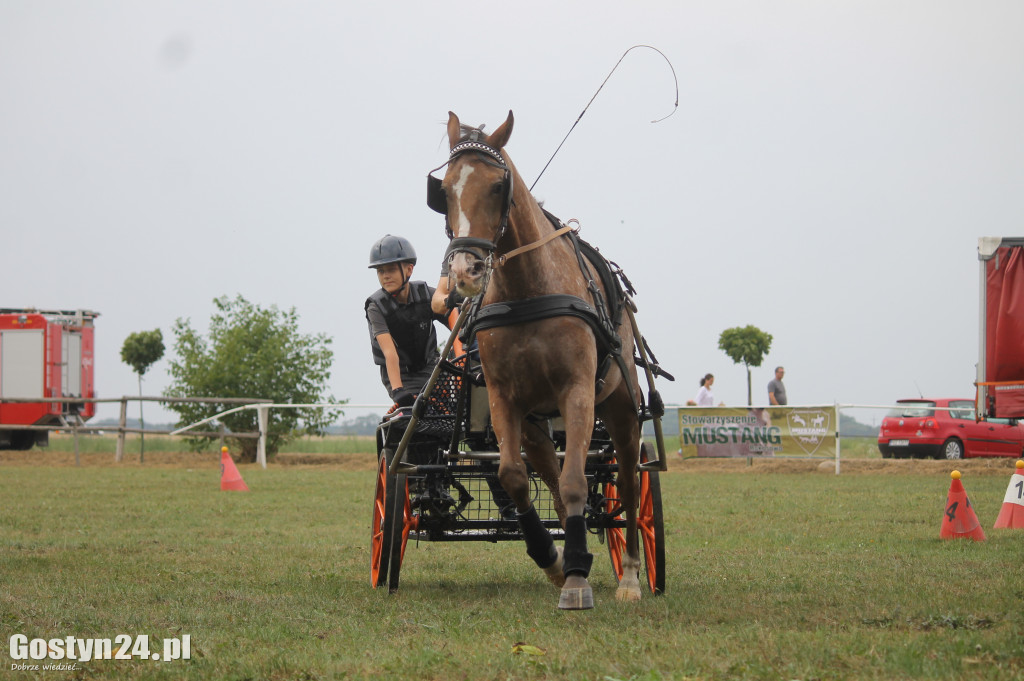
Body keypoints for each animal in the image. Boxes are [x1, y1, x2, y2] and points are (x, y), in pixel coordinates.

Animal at [438, 109, 638, 606]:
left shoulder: (577, 392)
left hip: (621, 406)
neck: (528, 292)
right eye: (443, 189)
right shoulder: (505, 399)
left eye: (497, 185)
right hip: (535, 423)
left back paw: (629, 576)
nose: (465, 271)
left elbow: (577, 481)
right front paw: (554, 558)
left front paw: (579, 582)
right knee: (550, 472)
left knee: (626, 476)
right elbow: (514, 476)